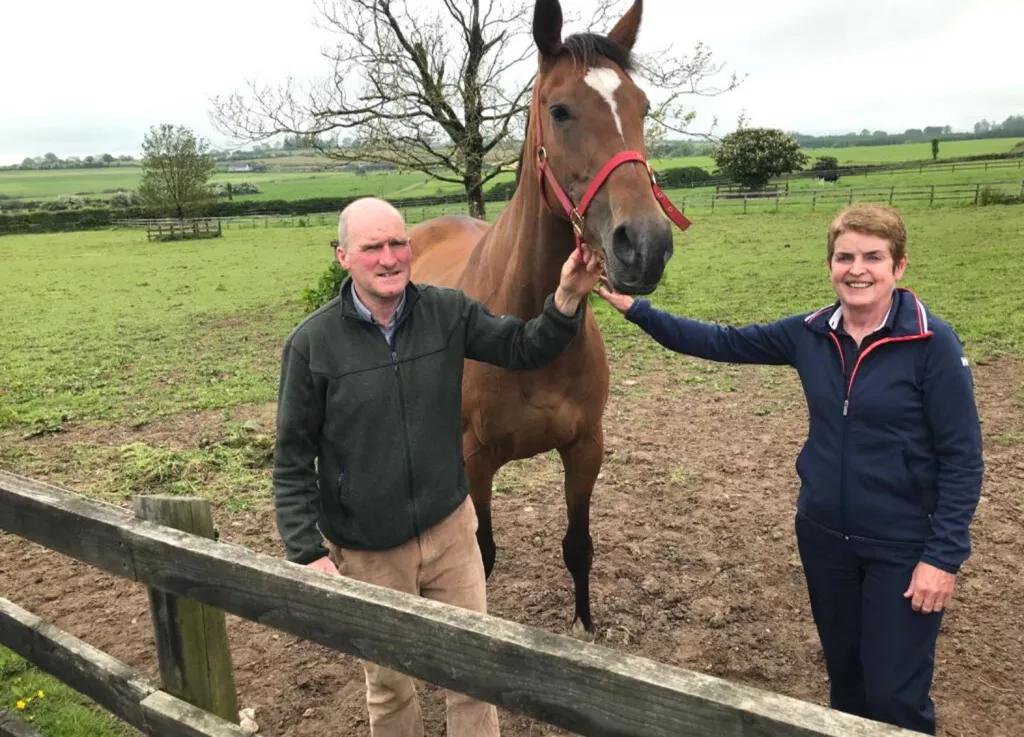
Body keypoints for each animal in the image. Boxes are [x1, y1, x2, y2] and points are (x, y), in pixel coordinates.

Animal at [405, 0, 688, 634]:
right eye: (560, 111)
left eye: (642, 107)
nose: (646, 245)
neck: (525, 328)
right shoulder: (476, 460)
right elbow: (482, 555)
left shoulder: (586, 449)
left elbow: (578, 547)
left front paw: (583, 629)